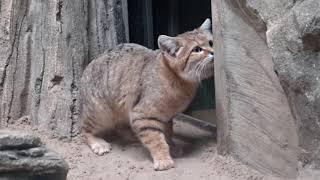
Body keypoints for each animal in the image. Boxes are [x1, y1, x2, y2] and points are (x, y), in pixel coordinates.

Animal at [80, 19, 215, 171]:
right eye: (197, 49)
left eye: (211, 43)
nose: (213, 52)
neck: (177, 79)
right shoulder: (144, 116)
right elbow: (156, 139)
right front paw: (163, 159)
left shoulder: (166, 117)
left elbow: (168, 134)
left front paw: (172, 147)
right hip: (100, 112)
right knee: (84, 128)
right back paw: (97, 142)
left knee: (119, 127)